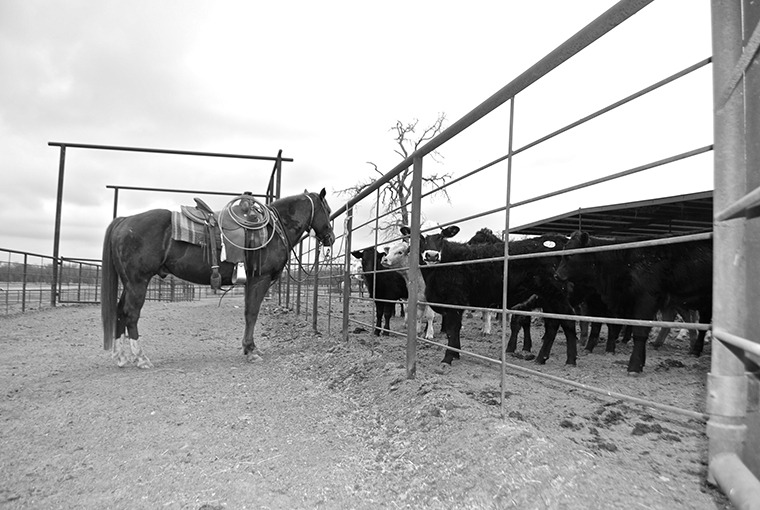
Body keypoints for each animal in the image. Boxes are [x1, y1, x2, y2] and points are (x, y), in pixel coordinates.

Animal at [101, 188, 335, 367]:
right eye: (328, 210)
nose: (330, 238)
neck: (272, 230)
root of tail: (124, 221)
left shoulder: (249, 281)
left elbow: (248, 313)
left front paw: (248, 348)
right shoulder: (260, 279)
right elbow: (252, 313)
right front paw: (251, 351)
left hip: (129, 283)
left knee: (120, 312)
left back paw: (121, 357)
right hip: (138, 282)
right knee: (131, 314)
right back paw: (141, 358)